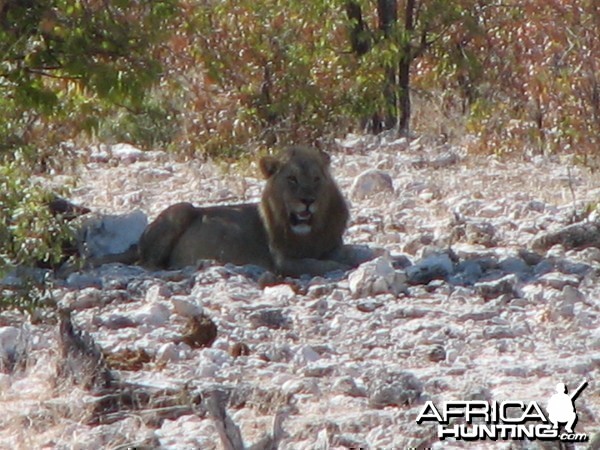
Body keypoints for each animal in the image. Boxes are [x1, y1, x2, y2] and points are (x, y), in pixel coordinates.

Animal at [137, 146, 360, 276]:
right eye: (292, 179)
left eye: (316, 179)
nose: (307, 201)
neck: (308, 235)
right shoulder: (283, 262)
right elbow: (317, 264)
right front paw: (343, 267)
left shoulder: (334, 246)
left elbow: (350, 253)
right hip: (182, 208)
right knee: (146, 263)